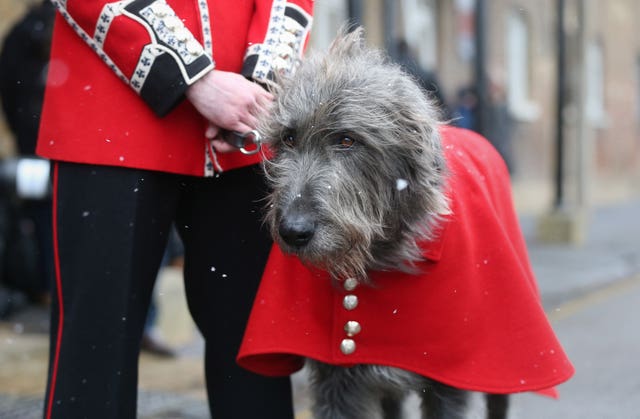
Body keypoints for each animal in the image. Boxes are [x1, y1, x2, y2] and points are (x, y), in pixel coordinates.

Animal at [258, 27, 508, 418]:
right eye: (289, 137)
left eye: (347, 140)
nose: (293, 231)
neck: (376, 258)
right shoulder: (336, 380)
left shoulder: (447, 378)